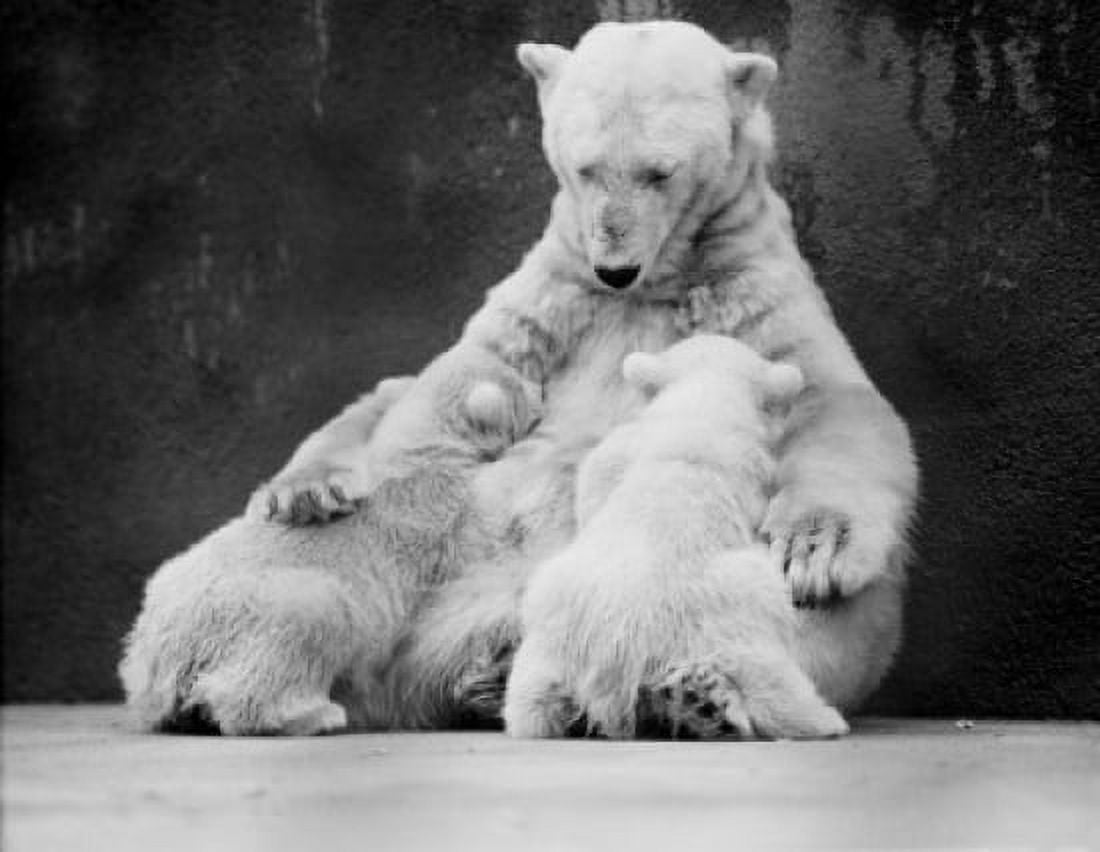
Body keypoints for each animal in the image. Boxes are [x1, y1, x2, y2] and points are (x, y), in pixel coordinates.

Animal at [504, 334, 848, 740]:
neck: (700, 406)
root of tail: (624, 649)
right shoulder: (756, 465)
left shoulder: (625, 445)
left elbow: (597, 477)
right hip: (731, 607)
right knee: (766, 669)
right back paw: (819, 719)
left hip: (555, 616)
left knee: (532, 697)